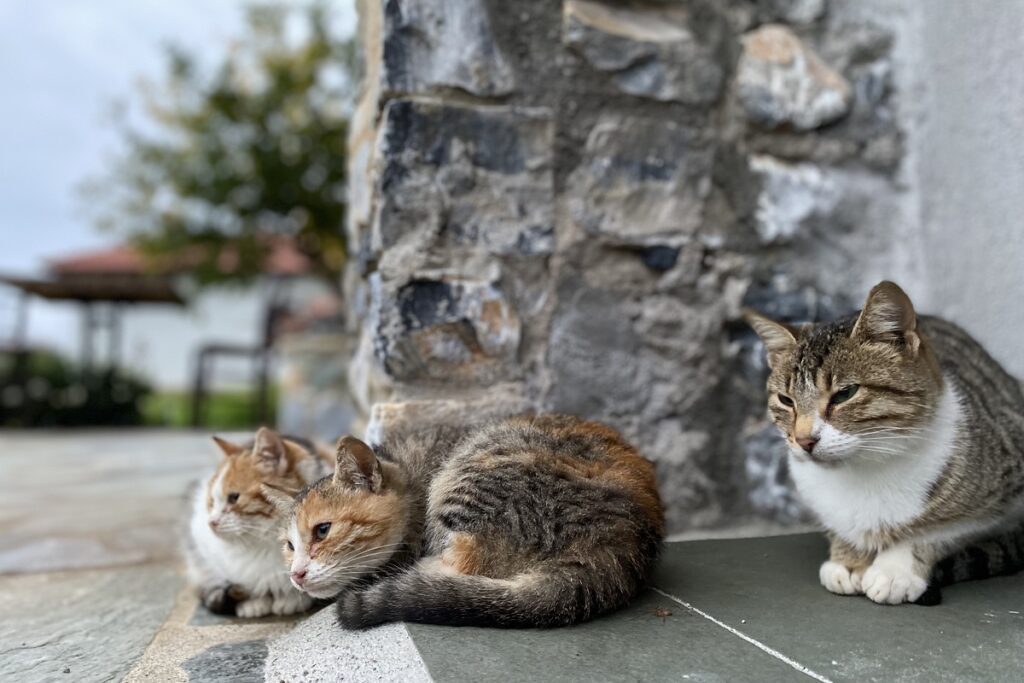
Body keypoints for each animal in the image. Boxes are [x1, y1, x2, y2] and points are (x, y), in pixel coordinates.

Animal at [182, 428, 329, 618]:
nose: (211, 522)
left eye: (234, 497)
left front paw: (291, 601)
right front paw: (254, 603)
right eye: (212, 501)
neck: (265, 541)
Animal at [745, 280, 1024, 606]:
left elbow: (936, 531)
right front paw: (848, 559)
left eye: (845, 393)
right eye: (786, 400)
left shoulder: (1000, 500)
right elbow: (839, 524)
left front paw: (895, 570)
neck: (867, 467)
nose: (803, 440)